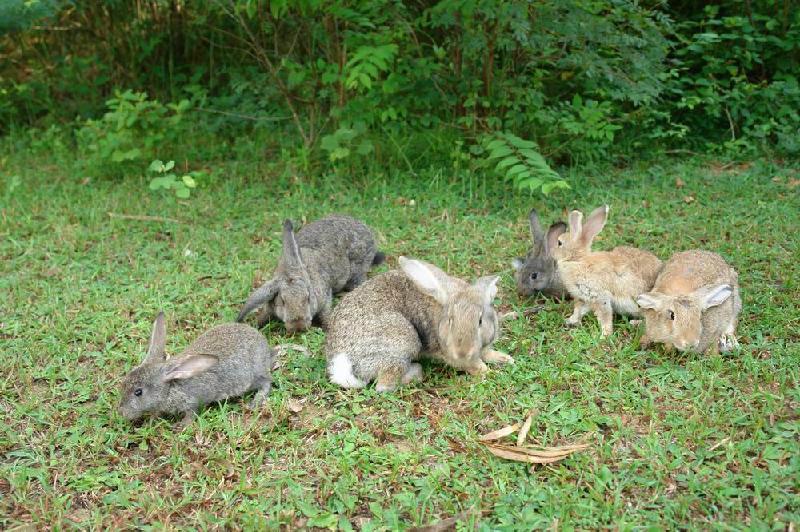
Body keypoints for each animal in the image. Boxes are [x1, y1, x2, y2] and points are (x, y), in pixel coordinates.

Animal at [119, 312, 274, 428]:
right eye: (124, 383)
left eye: (138, 392)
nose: (122, 413)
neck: (170, 387)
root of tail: (264, 344)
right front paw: (149, 422)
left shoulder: (194, 400)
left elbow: (192, 413)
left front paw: (181, 425)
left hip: (252, 377)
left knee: (266, 382)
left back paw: (255, 402)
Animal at [324, 256, 512, 392]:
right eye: (450, 319)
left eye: (480, 321)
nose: (462, 352)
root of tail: (343, 362)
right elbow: (470, 364)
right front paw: (486, 371)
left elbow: (486, 353)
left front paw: (505, 359)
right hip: (404, 340)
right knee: (384, 385)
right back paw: (416, 371)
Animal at [552, 205, 664, 336]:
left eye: (559, 242)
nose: (552, 252)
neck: (577, 260)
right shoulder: (585, 298)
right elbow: (579, 310)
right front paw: (571, 320)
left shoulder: (599, 295)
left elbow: (604, 315)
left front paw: (605, 335)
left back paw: (634, 323)